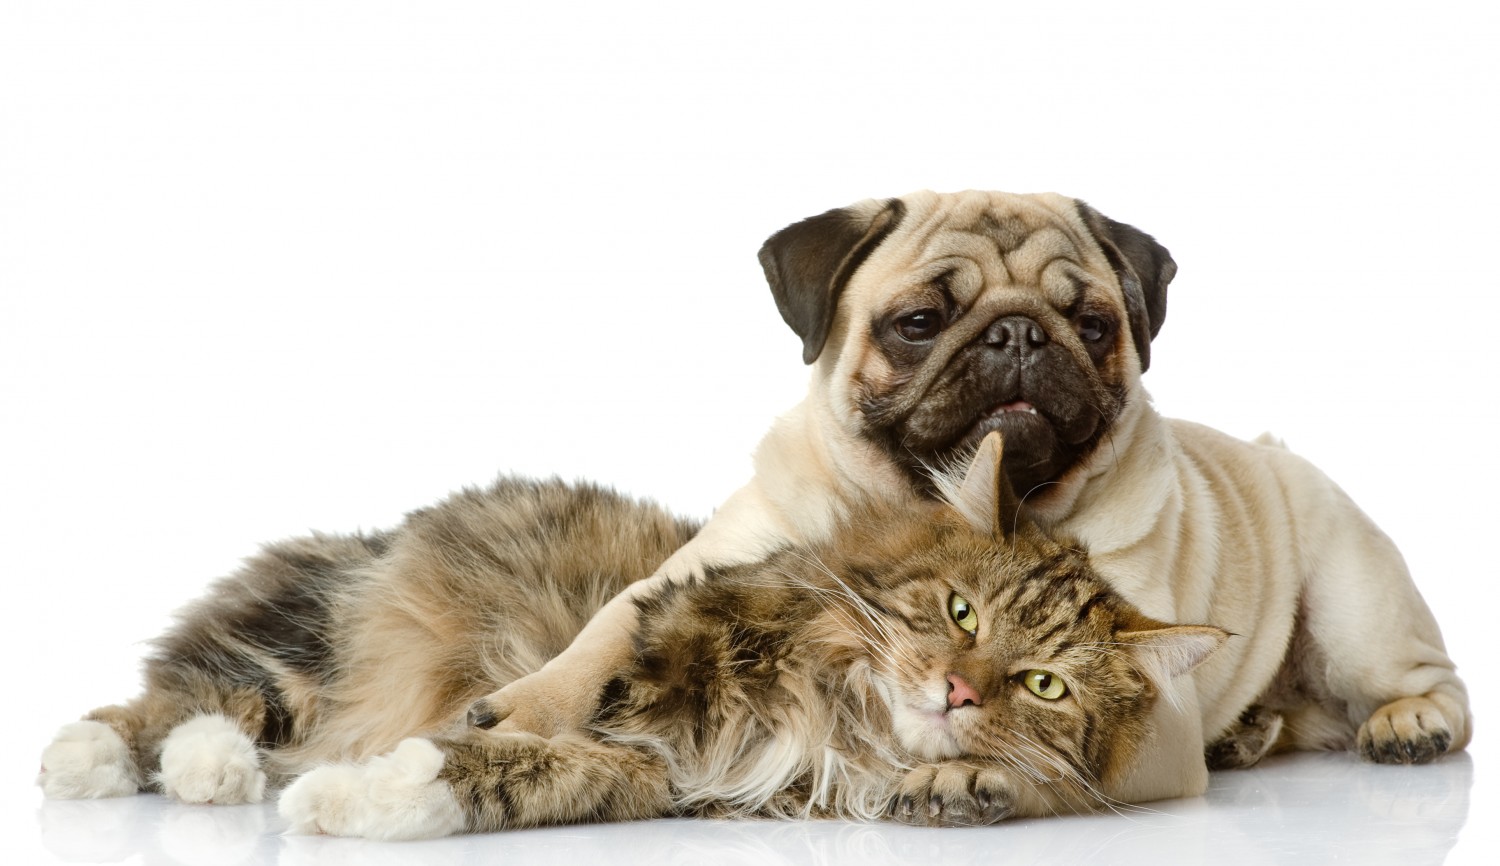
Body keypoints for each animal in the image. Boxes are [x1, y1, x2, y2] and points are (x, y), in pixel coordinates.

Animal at [41, 435, 1224, 840]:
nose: (960, 692)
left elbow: (551, 775)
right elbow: (539, 725)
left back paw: (212, 772)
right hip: (330, 637)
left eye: (1044, 685)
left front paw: (371, 794)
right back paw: (109, 756)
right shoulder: (674, 640)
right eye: (962, 613)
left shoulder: (685, 774)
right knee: (190, 693)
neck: (847, 715)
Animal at [477, 189, 1464, 804]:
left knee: (1432, 681)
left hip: (1353, 608)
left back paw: (1408, 723)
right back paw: (1254, 733)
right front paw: (525, 711)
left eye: (1095, 326)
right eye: (920, 323)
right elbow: (606, 630)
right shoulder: (709, 567)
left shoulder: (1155, 710)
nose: (1020, 333)